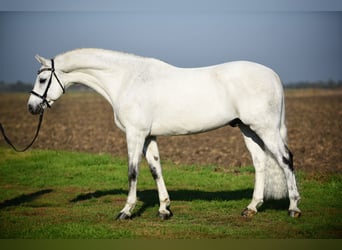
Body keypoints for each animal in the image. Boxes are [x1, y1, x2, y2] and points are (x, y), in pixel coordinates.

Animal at [28, 48, 300, 219]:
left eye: (42, 79)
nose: (32, 107)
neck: (127, 80)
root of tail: (273, 75)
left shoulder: (135, 134)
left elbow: (133, 172)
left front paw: (126, 211)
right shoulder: (149, 137)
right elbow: (155, 169)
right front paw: (164, 210)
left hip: (265, 128)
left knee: (286, 159)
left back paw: (294, 208)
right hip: (248, 129)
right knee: (260, 163)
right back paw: (252, 208)